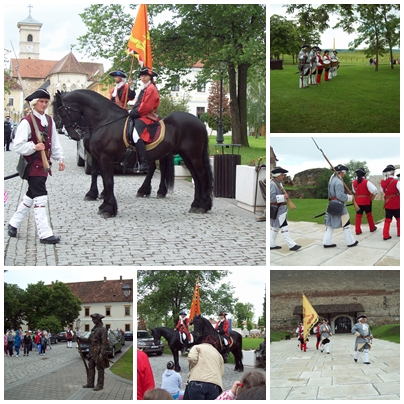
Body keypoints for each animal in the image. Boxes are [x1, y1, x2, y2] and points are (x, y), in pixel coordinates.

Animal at [52, 89, 215, 218]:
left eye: (60, 111)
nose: (70, 132)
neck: (106, 121)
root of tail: (199, 122)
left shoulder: (105, 158)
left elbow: (108, 181)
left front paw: (109, 208)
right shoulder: (99, 158)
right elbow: (102, 178)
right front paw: (102, 202)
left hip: (193, 156)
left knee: (201, 175)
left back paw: (202, 205)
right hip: (186, 156)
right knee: (194, 177)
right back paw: (195, 204)